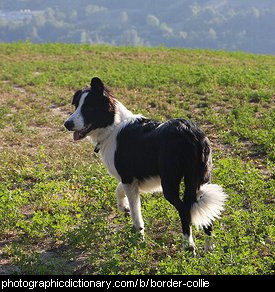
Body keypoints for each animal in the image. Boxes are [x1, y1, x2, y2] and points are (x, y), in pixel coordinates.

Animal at [64, 77, 229, 253]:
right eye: (76, 106)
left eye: (88, 107)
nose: (66, 124)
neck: (112, 125)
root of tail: (191, 132)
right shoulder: (132, 179)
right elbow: (119, 190)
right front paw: (123, 207)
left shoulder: (128, 178)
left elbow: (136, 213)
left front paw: (139, 237)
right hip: (201, 179)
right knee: (207, 216)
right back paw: (209, 248)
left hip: (170, 184)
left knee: (185, 209)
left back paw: (188, 246)